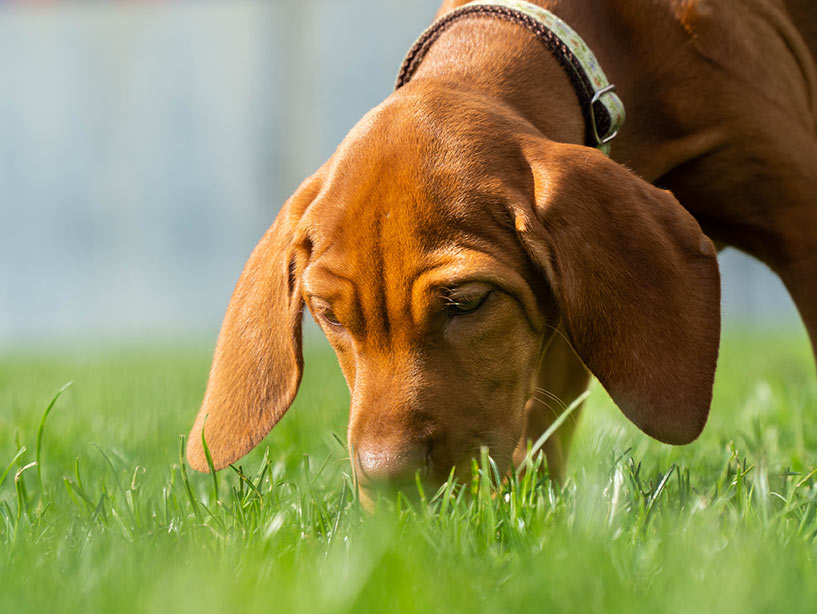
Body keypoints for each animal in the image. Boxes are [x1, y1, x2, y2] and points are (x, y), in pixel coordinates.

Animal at [188, 0, 816, 500]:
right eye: (328, 315)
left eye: (466, 302)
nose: (390, 485)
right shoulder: (560, 305)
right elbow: (540, 425)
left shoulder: (800, 222)